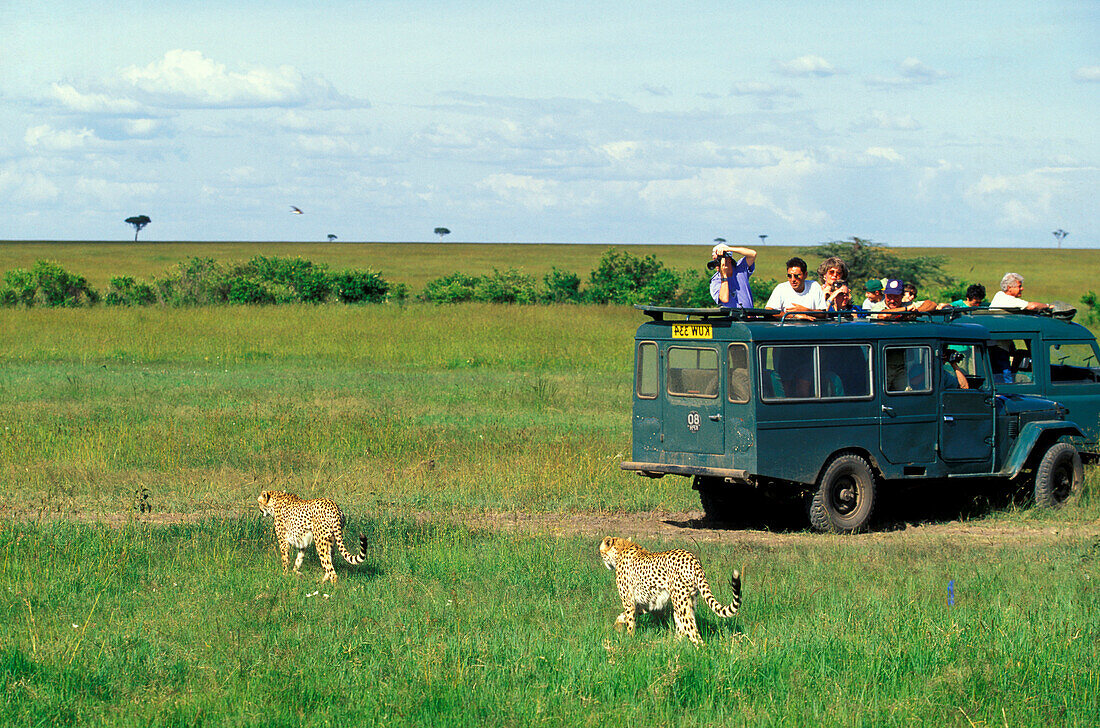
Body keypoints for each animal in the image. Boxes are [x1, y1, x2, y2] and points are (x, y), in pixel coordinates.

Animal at [598, 534, 743, 646]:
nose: (600, 556)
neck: (622, 548)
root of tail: (692, 558)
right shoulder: (649, 602)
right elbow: (625, 615)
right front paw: (618, 624)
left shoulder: (629, 601)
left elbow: (630, 621)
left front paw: (630, 639)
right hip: (688, 601)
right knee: (684, 627)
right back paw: (675, 645)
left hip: (680, 601)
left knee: (693, 632)